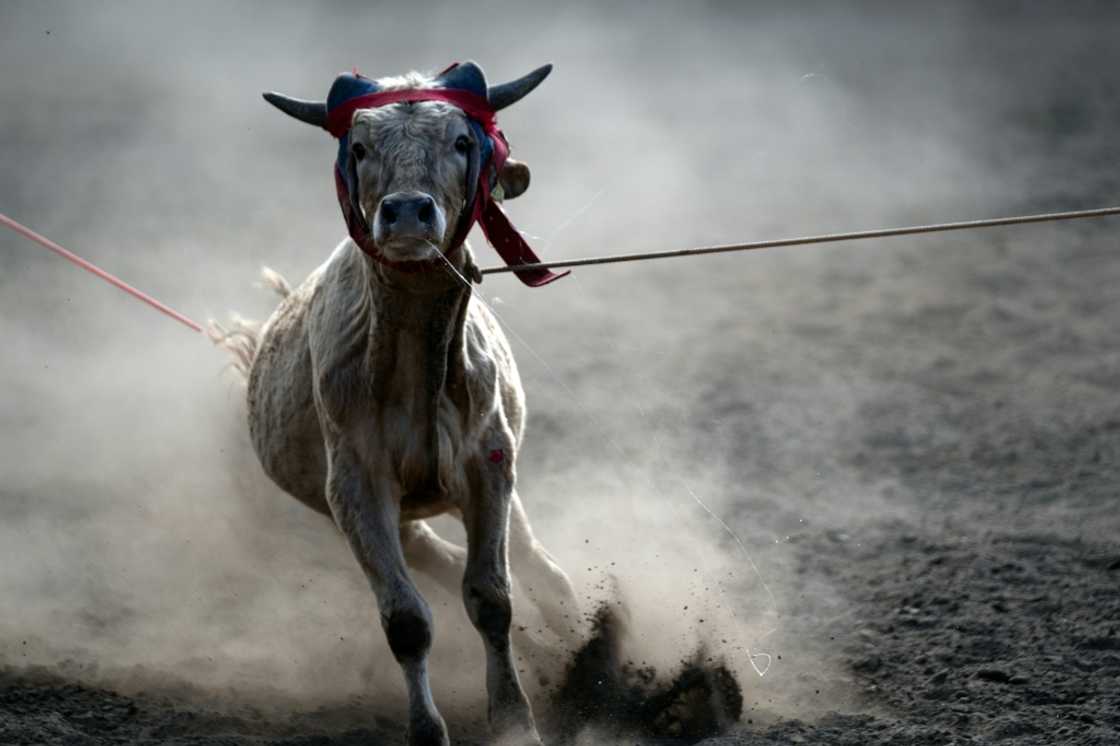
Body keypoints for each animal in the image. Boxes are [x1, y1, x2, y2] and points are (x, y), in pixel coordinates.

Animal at [210, 62, 579, 746]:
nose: (407, 212)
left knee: (538, 566)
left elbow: (493, 597)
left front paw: (515, 719)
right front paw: (428, 730)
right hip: (378, 513)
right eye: (358, 148)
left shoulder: (489, 465)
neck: (416, 368)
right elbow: (408, 619)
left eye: (461, 141)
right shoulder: (356, 486)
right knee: (439, 561)